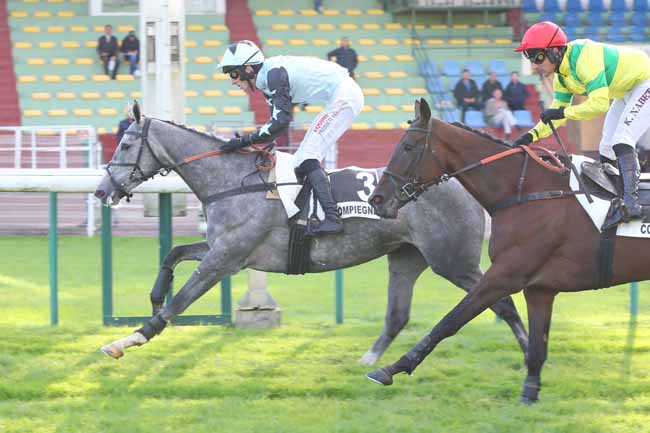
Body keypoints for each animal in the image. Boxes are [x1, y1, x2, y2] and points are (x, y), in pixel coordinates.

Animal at [95, 108, 528, 362]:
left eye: (127, 143)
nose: (101, 191)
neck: (233, 181)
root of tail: (457, 179)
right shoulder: (225, 249)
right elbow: (175, 253)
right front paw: (154, 295)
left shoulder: (226, 258)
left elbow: (181, 301)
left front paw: (129, 339)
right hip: (407, 257)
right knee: (397, 315)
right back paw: (368, 366)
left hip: (453, 261)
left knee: (504, 304)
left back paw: (529, 353)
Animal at [364, 98, 644, 402]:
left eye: (408, 147)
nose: (376, 199)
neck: (528, 192)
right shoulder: (539, 289)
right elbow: (537, 348)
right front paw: (530, 392)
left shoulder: (505, 275)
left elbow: (451, 320)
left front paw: (392, 368)